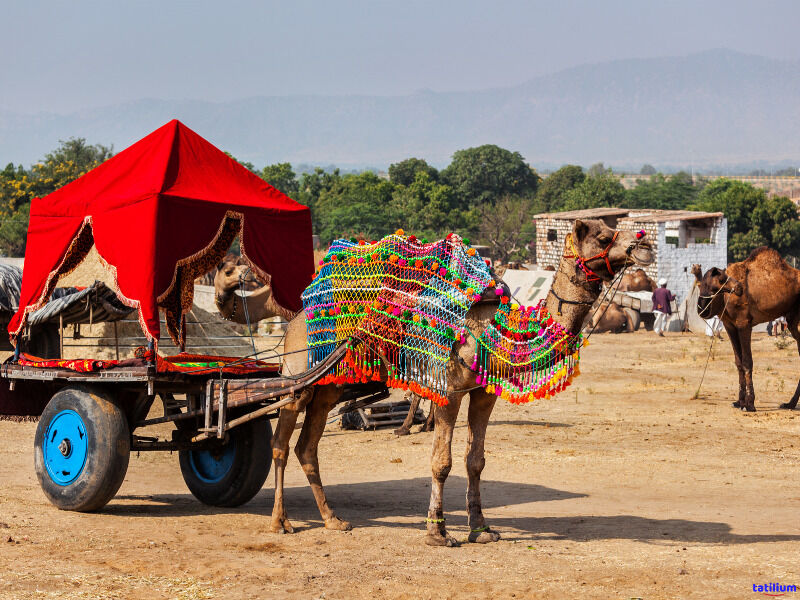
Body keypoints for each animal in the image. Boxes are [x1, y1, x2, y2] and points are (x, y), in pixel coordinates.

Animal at [268, 221, 648, 548]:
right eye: (603, 237)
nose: (644, 246)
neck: (495, 326)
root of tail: (296, 316)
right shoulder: (448, 389)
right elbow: (442, 462)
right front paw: (437, 533)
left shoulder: (483, 392)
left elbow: (474, 461)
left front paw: (481, 529)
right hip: (298, 376)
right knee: (281, 442)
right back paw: (280, 522)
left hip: (329, 385)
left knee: (307, 446)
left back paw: (333, 519)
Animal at [692, 248, 800, 412]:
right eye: (722, 279)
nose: (739, 288)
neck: (723, 299)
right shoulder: (730, 325)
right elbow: (738, 362)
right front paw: (739, 402)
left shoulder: (744, 323)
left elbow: (747, 362)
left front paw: (749, 404)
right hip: (794, 321)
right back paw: (789, 404)